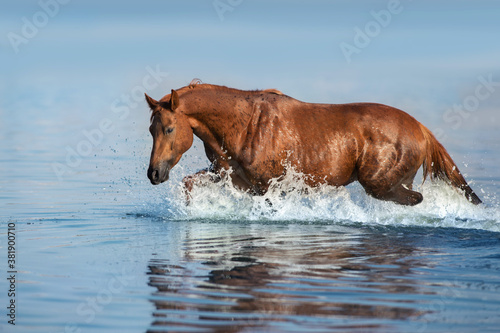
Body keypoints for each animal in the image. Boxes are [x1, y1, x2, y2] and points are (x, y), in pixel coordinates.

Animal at [144, 80, 480, 205]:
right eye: (151, 130)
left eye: (170, 129)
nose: (154, 173)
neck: (245, 126)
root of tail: (421, 128)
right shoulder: (231, 176)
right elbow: (189, 184)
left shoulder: (267, 186)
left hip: (380, 184)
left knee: (416, 200)